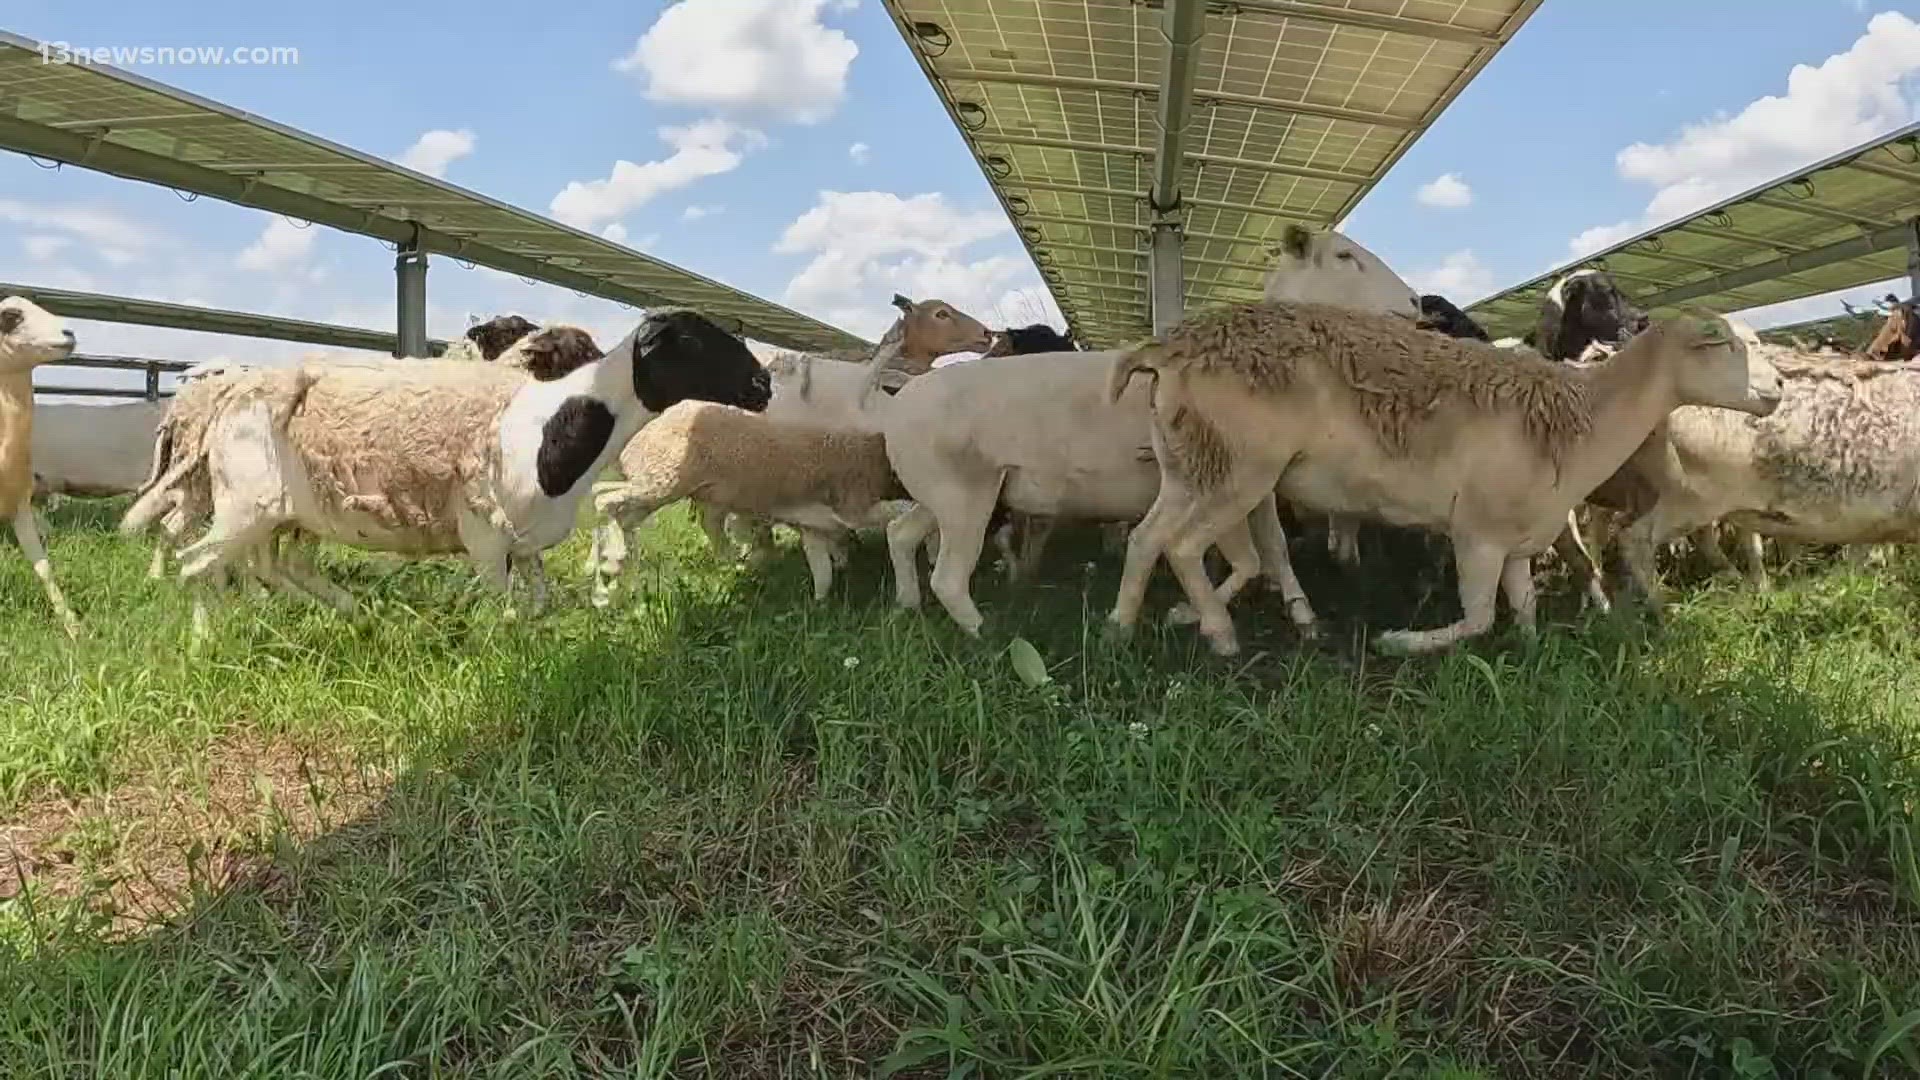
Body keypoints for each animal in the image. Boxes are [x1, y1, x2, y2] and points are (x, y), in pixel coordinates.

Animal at [121, 311, 771, 630]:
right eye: (695, 343)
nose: (764, 386)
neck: (554, 423)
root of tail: (231, 394)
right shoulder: (484, 541)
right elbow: (504, 613)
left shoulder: (525, 541)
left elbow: (537, 603)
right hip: (243, 506)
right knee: (195, 562)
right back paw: (208, 641)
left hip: (286, 515)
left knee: (275, 567)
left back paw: (357, 616)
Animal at [1113, 295, 1781, 657]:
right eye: (1723, 344)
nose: (1778, 387)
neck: (1583, 416)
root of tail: (1167, 349)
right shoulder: (1477, 532)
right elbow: (1479, 619)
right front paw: (1399, 642)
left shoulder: (1518, 539)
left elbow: (1525, 608)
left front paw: (1531, 655)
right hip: (1235, 468)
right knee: (1182, 546)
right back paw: (1219, 634)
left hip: (1189, 463)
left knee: (1148, 538)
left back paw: (1126, 624)